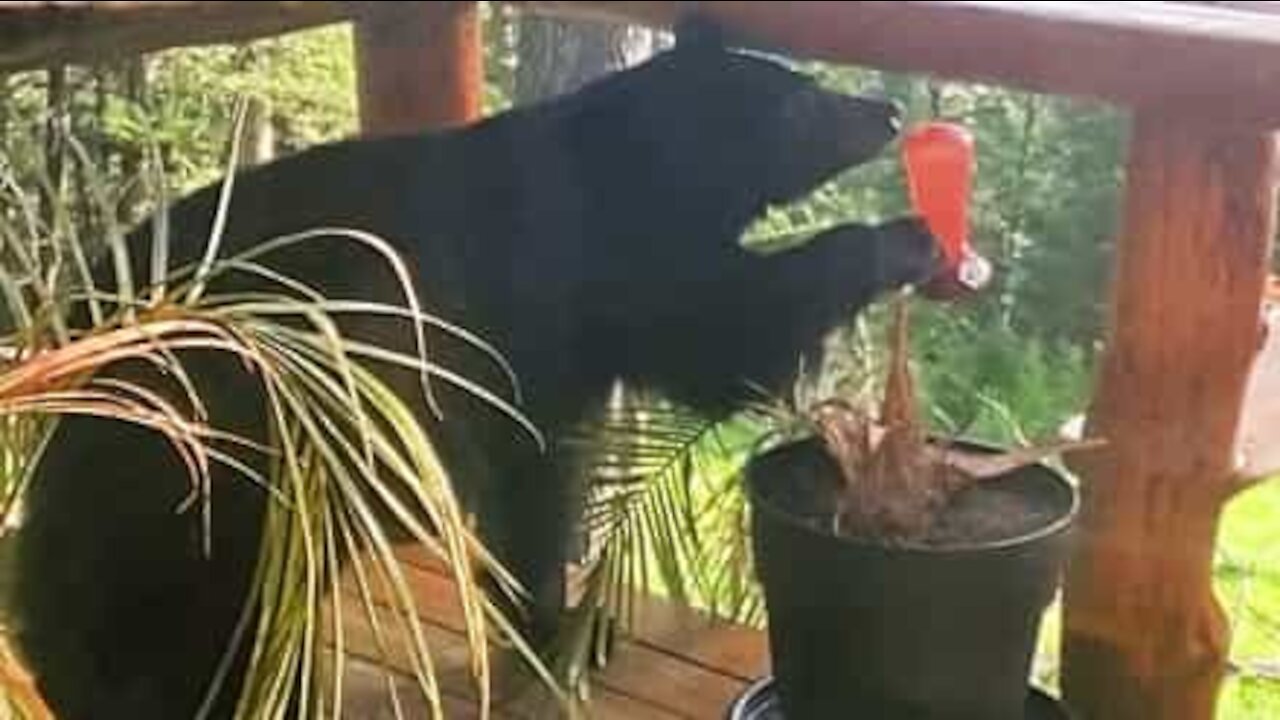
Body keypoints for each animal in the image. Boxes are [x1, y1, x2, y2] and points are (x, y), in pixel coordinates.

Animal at [10, 19, 942, 712]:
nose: (885, 109)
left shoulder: (565, 342)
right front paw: (902, 239)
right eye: (805, 99)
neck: (629, 170)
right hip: (224, 427)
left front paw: (558, 617)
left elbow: (552, 456)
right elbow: (722, 329)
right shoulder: (588, 265)